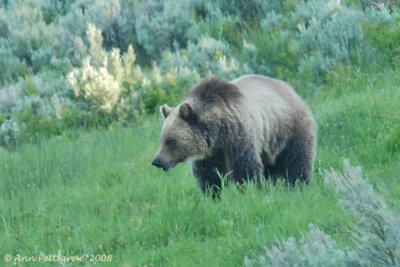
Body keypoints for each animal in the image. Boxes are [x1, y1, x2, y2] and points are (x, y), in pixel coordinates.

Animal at [152, 74, 318, 196]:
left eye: (170, 141)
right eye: (162, 139)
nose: (157, 161)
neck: (218, 133)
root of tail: (292, 91)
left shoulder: (238, 137)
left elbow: (245, 167)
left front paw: (249, 191)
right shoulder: (210, 153)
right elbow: (208, 175)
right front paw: (212, 195)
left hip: (288, 130)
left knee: (296, 162)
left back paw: (299, 186)